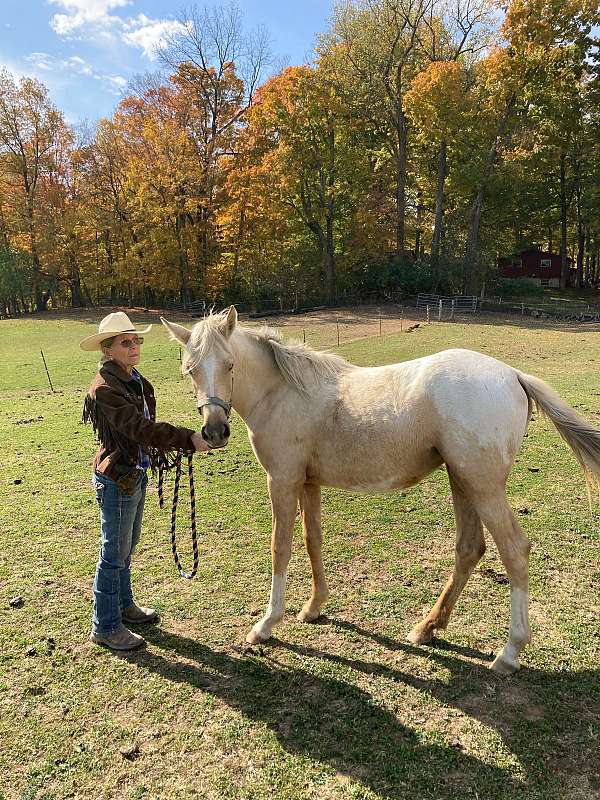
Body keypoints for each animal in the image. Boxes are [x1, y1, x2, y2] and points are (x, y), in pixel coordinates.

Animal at [162, 308, 600, 676]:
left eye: (230, 365)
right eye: (190, 370)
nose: (214, 432)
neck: (284, 393)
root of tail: (512, 374)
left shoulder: (282, 481)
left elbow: (280, 548)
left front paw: (266, 625)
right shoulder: (308, 483)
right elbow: (312, 540)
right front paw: (314, 607)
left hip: (483, 487)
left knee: (514, 550)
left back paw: (508, 653)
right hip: (462, 481)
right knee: (469, 549)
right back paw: (427, 627)